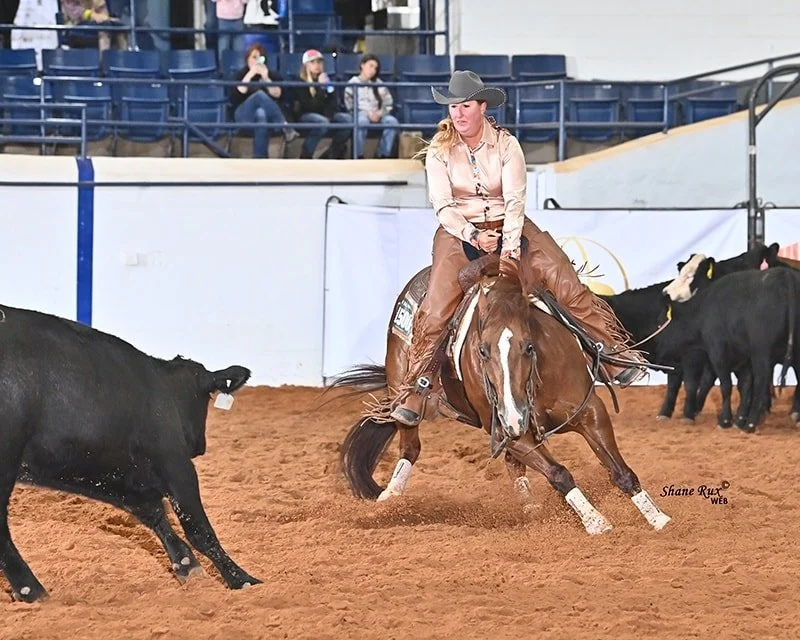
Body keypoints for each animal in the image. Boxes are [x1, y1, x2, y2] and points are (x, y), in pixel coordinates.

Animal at [327, 253, 672, 535]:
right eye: (481, 350)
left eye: (529, 346)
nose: (514, 415)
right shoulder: (512, 431)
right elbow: (559, 473)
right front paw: (595, 520)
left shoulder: (590, 413)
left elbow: (621, 471)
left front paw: (657, 517)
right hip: (403, 384)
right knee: (410, 444)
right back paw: (391, 496)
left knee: (511, 463)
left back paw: (529, 505)